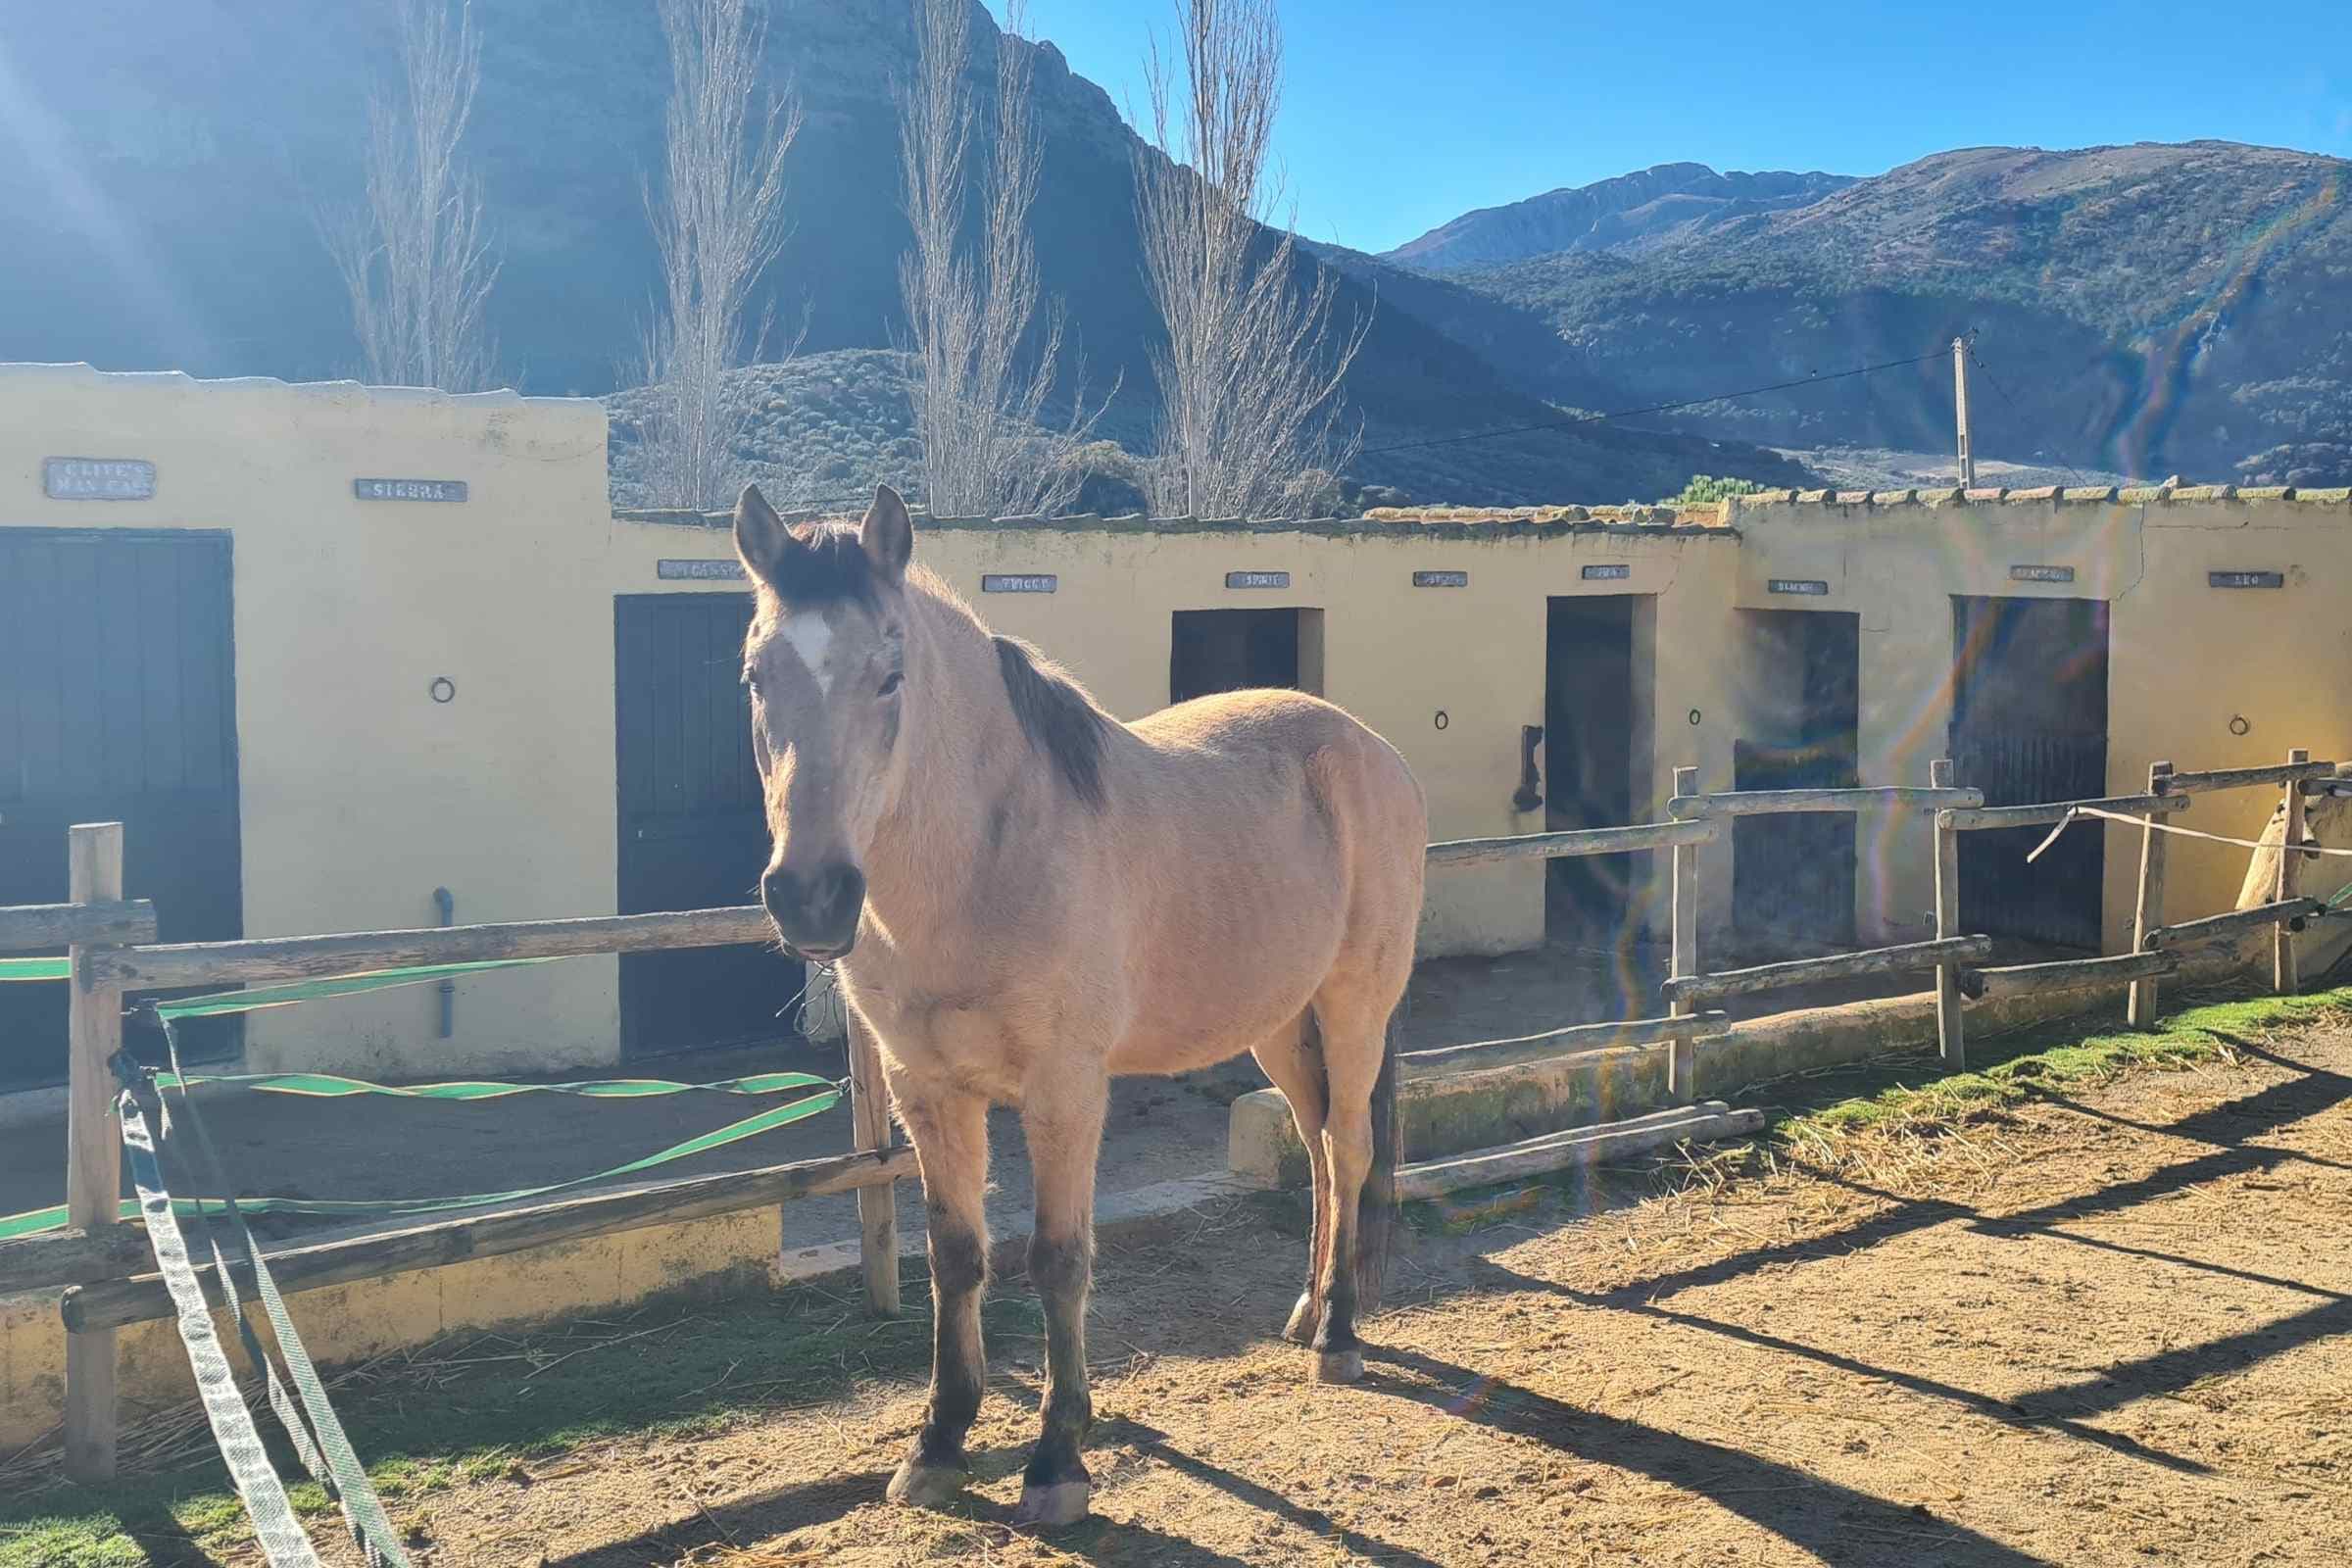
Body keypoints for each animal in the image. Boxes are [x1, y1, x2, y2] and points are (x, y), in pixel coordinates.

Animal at [732, 482, 1426, 1527]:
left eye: (891, 676)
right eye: (756, 677)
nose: (812, 897)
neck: (987, 858)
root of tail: (1372, 751)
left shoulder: (1065, 1089)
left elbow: (1057, 1259)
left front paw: (1058, 1460)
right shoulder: (927, 1088)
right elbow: (956, 1257)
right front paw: (938, 1445)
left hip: (1353, 1008)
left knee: (1349, 1146)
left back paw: (1339, 1337)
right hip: (1277, 1024)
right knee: (1315, 1151)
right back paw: (1307, 1310)